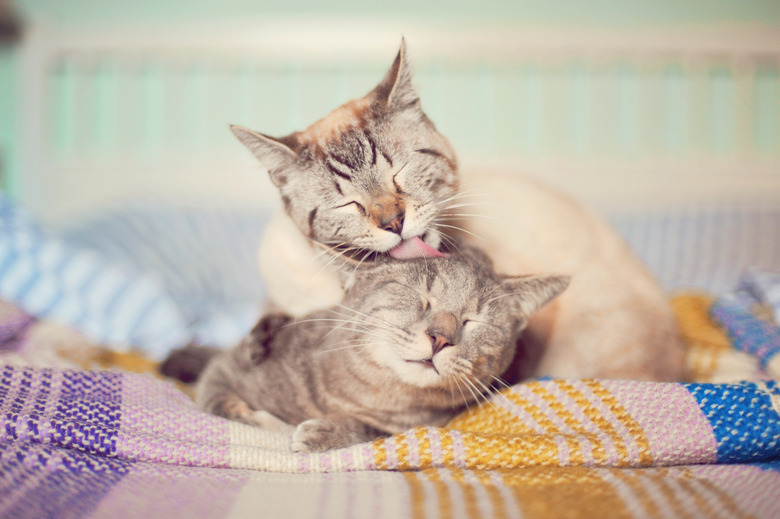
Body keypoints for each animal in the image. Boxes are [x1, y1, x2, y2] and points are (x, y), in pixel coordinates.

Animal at [197, 246, 568, 452]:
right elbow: (225, 406)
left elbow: (371, 428)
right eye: (424, 298)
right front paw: (281, 424)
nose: (440, 338)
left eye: (473, 321)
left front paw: (325, 430)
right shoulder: (221, 372)